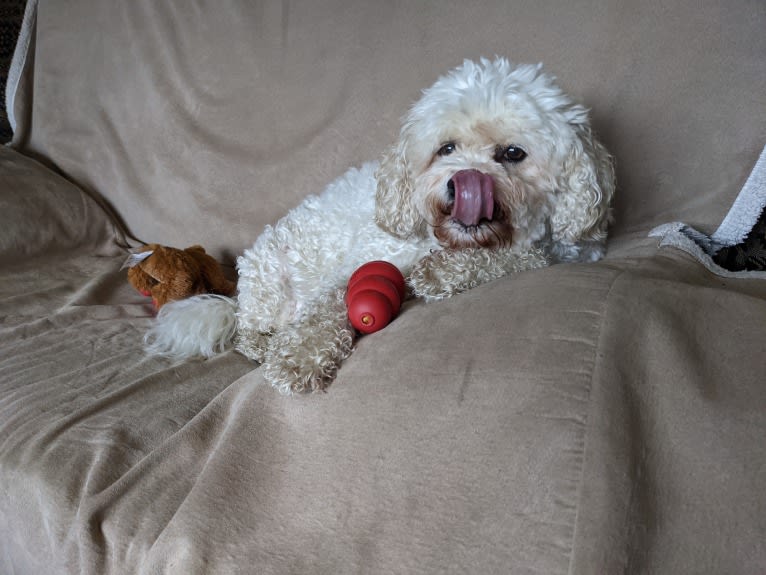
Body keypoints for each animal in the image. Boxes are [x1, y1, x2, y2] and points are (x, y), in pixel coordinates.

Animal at [147, 58, 616, 396]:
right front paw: (298, 360)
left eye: (513, 153)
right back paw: (266, 344)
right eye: (446, 148)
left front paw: (442, 272)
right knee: (247, 332)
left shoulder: (570, 248)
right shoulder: (357, 267)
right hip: (270, 280)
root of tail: (240, 292)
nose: (460, 181)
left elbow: (525, 255)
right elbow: (323, 312)